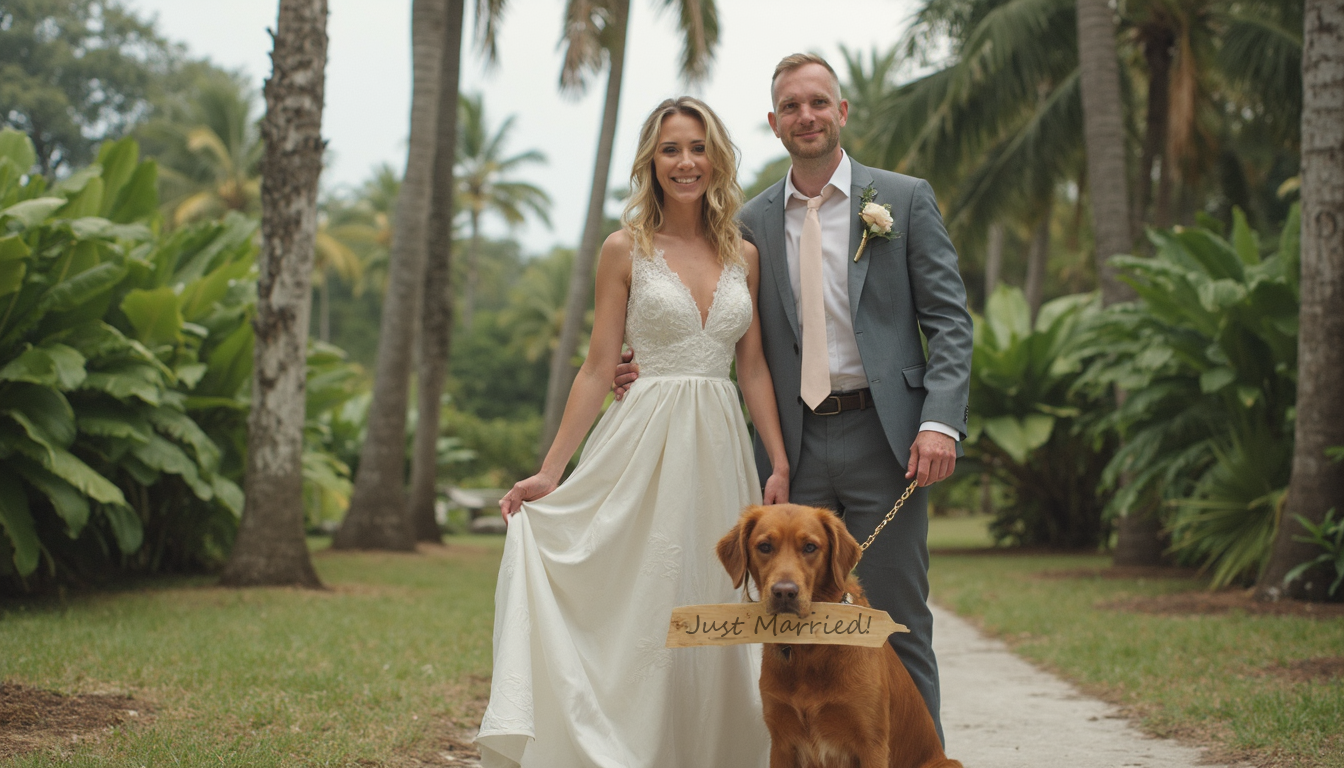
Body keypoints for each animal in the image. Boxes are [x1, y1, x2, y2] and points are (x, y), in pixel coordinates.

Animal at [720, 505, 962, 768]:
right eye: (764, 546)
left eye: (810, 547)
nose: (784, 592)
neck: (808, 647)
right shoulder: (781, 743)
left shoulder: (872, 743)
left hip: (947, 763)